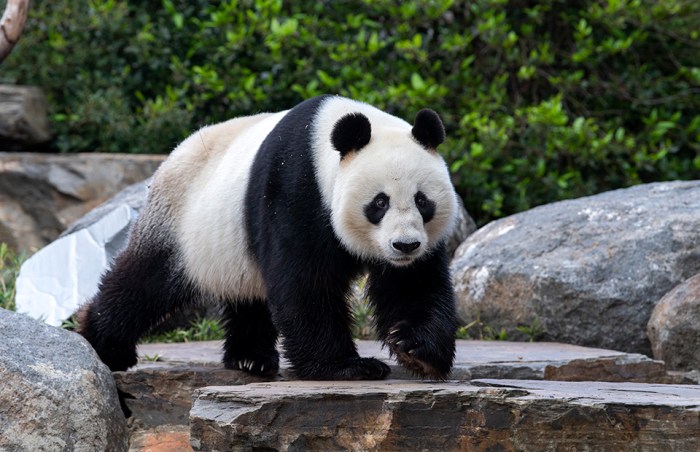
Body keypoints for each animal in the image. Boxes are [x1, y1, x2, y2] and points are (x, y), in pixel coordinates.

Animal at [78, 96, 460, 382]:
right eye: (379, 202)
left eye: (422, 201)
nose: (405, 245)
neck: (324, 141)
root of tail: (172, 155)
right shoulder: (295, 189)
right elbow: (304, 280)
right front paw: (347, 367)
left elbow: (412, 283)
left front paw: (416, 350)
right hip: (179, 218)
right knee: (145, 281)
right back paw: (105, 345)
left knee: (246, 294)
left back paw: (251, 358)